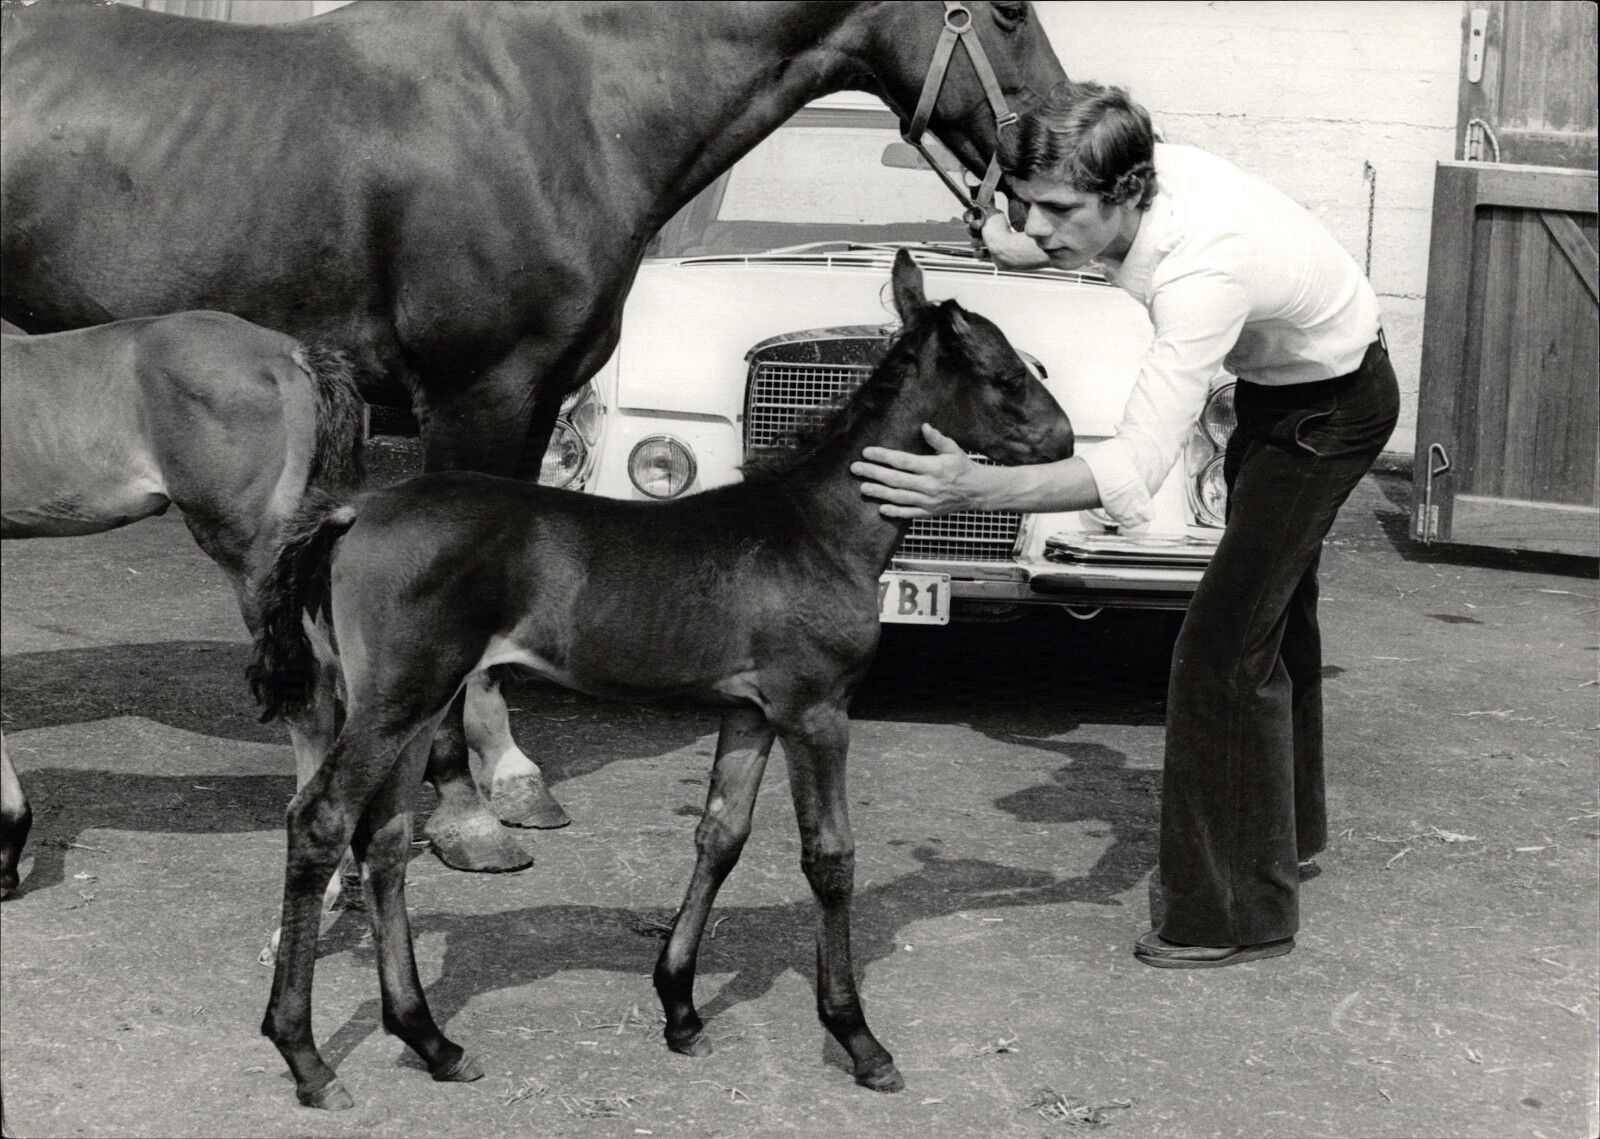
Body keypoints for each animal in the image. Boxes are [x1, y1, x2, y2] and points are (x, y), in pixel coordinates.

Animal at [249, 251, 1075, 1113]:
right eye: (1006, 374)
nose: (1064, 437)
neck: (818, 529)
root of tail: (353, 511)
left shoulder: (750, 713)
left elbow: (720, 835)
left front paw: (680, 1008)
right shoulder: (816, 709)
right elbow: (830, 855)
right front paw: (858, 1039)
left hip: (417, 703)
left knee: (383, 839)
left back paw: (432, 1040)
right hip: (396, 698)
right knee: (321, 819)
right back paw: (306, 1056)